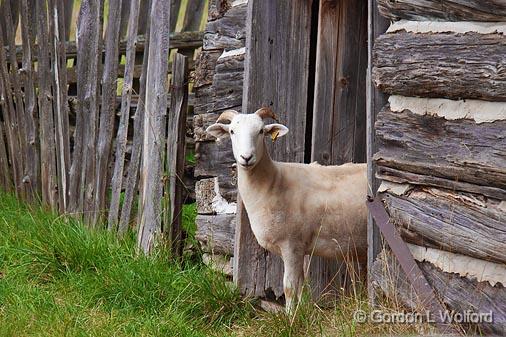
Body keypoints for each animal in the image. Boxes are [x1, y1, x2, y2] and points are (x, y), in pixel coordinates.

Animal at [206, 108, 368, 312]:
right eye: (232, 132)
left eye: (261, 131)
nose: (246, 158)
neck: (273, 182)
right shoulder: (300, 248)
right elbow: (301, 287)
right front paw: (301, 313)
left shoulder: (291, 244)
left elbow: (289, 288)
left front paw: (290, 317)